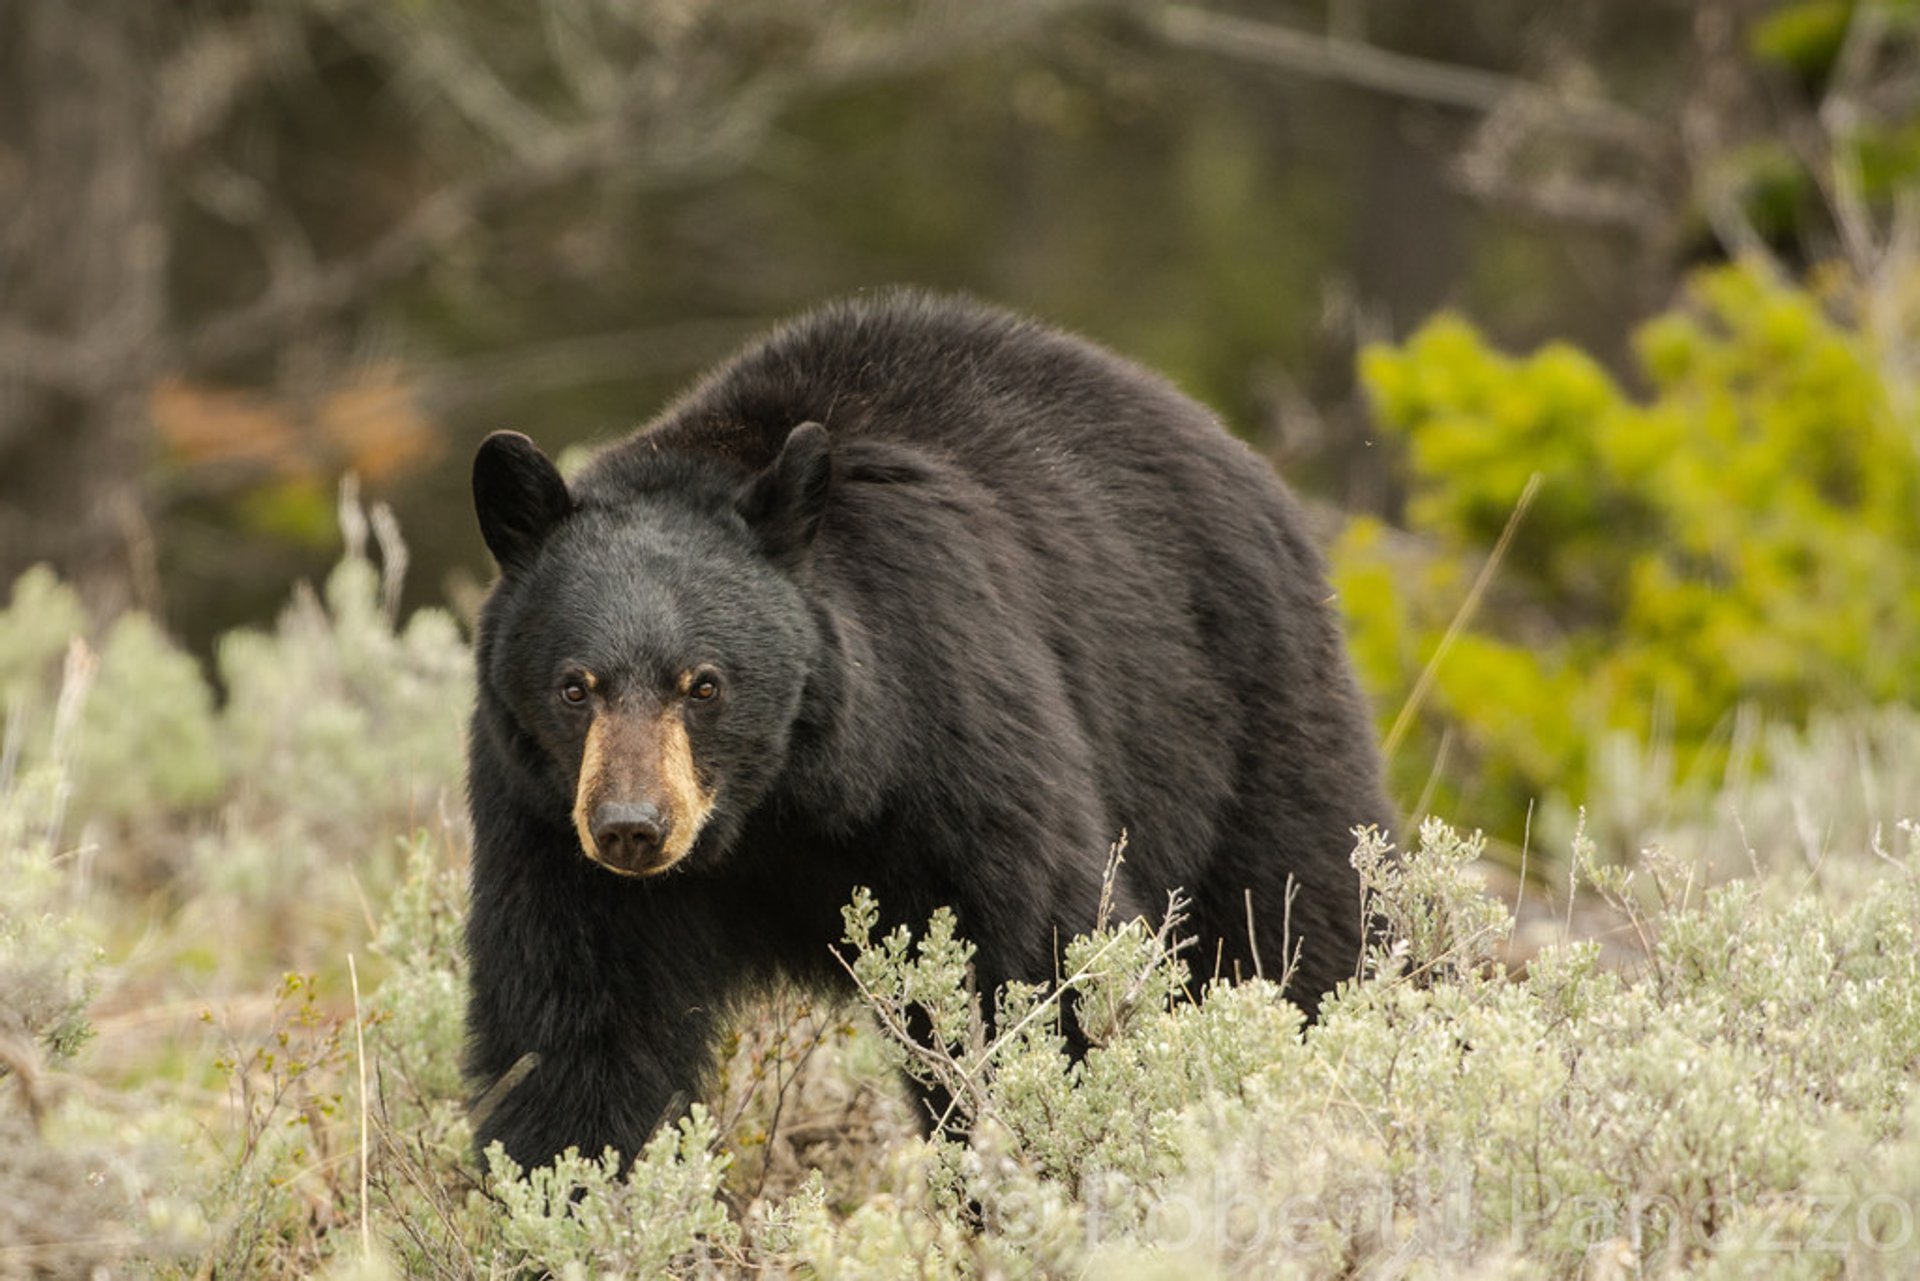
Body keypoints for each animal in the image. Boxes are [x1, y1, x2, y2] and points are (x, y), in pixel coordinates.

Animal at [464, 293, 1397, 1175]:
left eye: (704, 683)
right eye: (574, 685)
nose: (632, 827)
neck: (782, 806)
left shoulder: (949, 731)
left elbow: (1039, 961)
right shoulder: (547, 822)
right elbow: (577, 1027)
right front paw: (574, 1189)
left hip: (1246, 714)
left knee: (1304, 914)